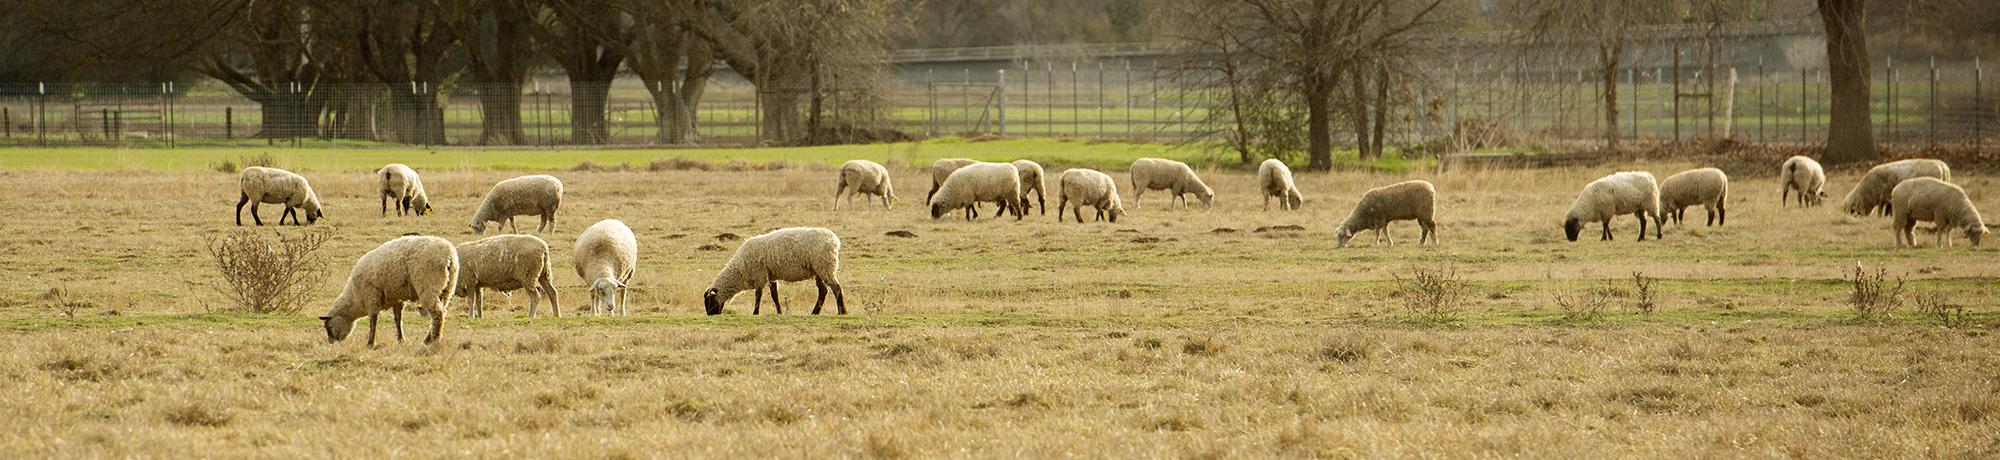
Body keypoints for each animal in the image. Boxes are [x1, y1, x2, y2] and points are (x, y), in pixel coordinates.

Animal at [320, 235, 458, 346]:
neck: (355, 297)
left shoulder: (371, 296)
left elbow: (373, 320)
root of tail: (448, 256)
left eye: (329, 327)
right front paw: (400, 339)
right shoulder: (397, 299)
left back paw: (433, 340)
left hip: (428, 285)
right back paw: (429, 338)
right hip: (447, 288)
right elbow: (397, 319)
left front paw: (370, 343)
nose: (332, 343)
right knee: (442, 312)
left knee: (437, 313)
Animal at [704, 227, 844, 314]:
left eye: (710, 302)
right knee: (823, 291)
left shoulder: (759, 275)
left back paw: (842, 312)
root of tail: (834, 240)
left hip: (825, 267)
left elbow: (758, 295)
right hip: (819, 270)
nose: (711, 315)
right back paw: (815, 313)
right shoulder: (770, 276)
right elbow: (774, 296)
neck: (739, 271)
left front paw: (755, 312)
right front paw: (779, 312)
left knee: (836, 288)